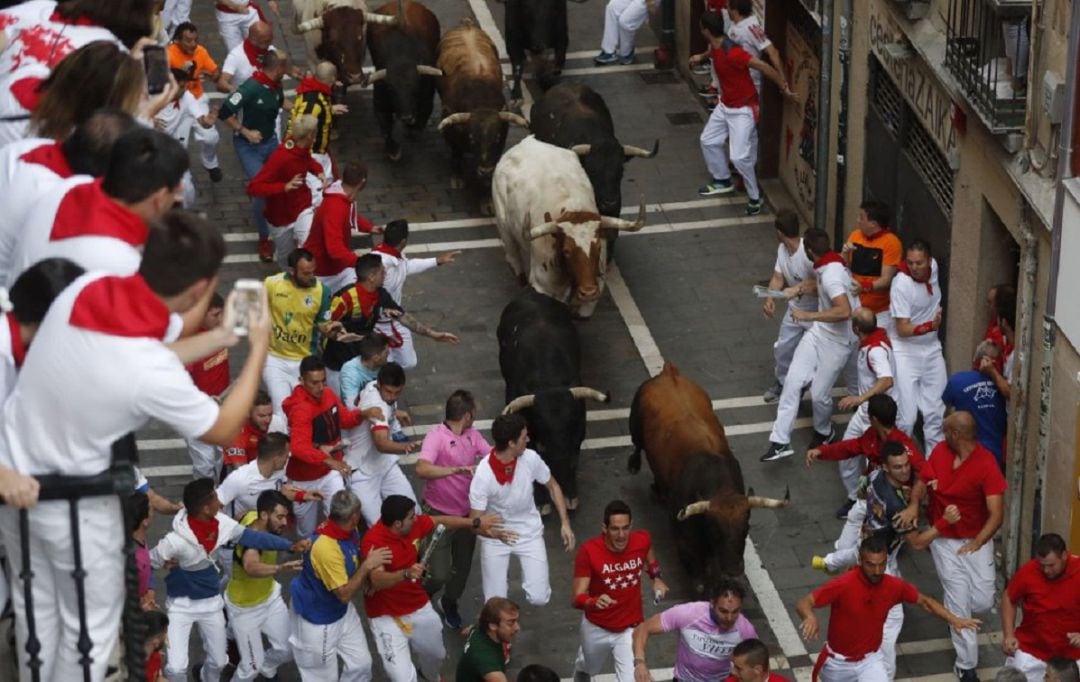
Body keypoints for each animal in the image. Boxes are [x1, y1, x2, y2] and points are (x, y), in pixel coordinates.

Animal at [494, 137, 643, 322]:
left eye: (598, 247)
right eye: (566, 251)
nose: (588, 292)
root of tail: (527, 142)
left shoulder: (592, 297)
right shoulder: (543, 288)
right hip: (505, 230)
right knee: (514, 261)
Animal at [630, 363, 790, 592]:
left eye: (746, 529)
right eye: (716, 532)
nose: (734, 573)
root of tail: (669, 373)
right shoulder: (685, 541)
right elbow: (699, 581)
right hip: (634, 424)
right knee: (637, 445)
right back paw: (637, 469)